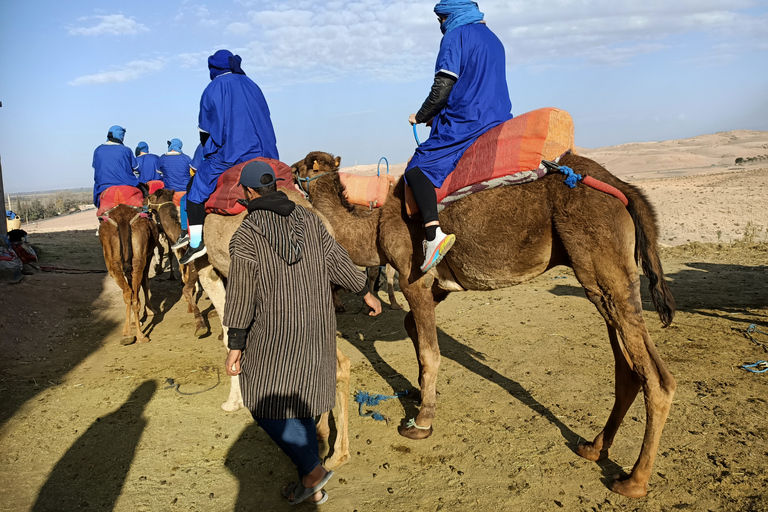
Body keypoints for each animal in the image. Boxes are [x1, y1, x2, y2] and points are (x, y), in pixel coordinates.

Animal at [98, 204, 160, 344]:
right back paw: (139, 336)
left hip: (114, 264)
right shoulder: (148, 256)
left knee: (128, 293)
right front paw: (150, 310)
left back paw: (129, 334)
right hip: (138, 259)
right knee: (132, 294)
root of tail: (123, 219)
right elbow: (145, 283)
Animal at [195, 187, 356, 468]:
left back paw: (334, 452)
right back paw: (326, 439)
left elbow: (230, 337)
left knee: (337, 365)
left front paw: (233, 402)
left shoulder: (213, 271)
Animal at [294, 150, 680, 498]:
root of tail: (623, 188)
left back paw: (634, 481)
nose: (287, 176)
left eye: (302, 167)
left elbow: (429, 352)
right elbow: (413, 332)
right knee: (628, 371)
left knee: (657, 379)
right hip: (602, 283)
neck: (372, 228)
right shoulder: (438, 285)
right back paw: (593, 447)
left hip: (602, 266)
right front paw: (418, 393)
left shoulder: (412, 276)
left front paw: (421, 422)